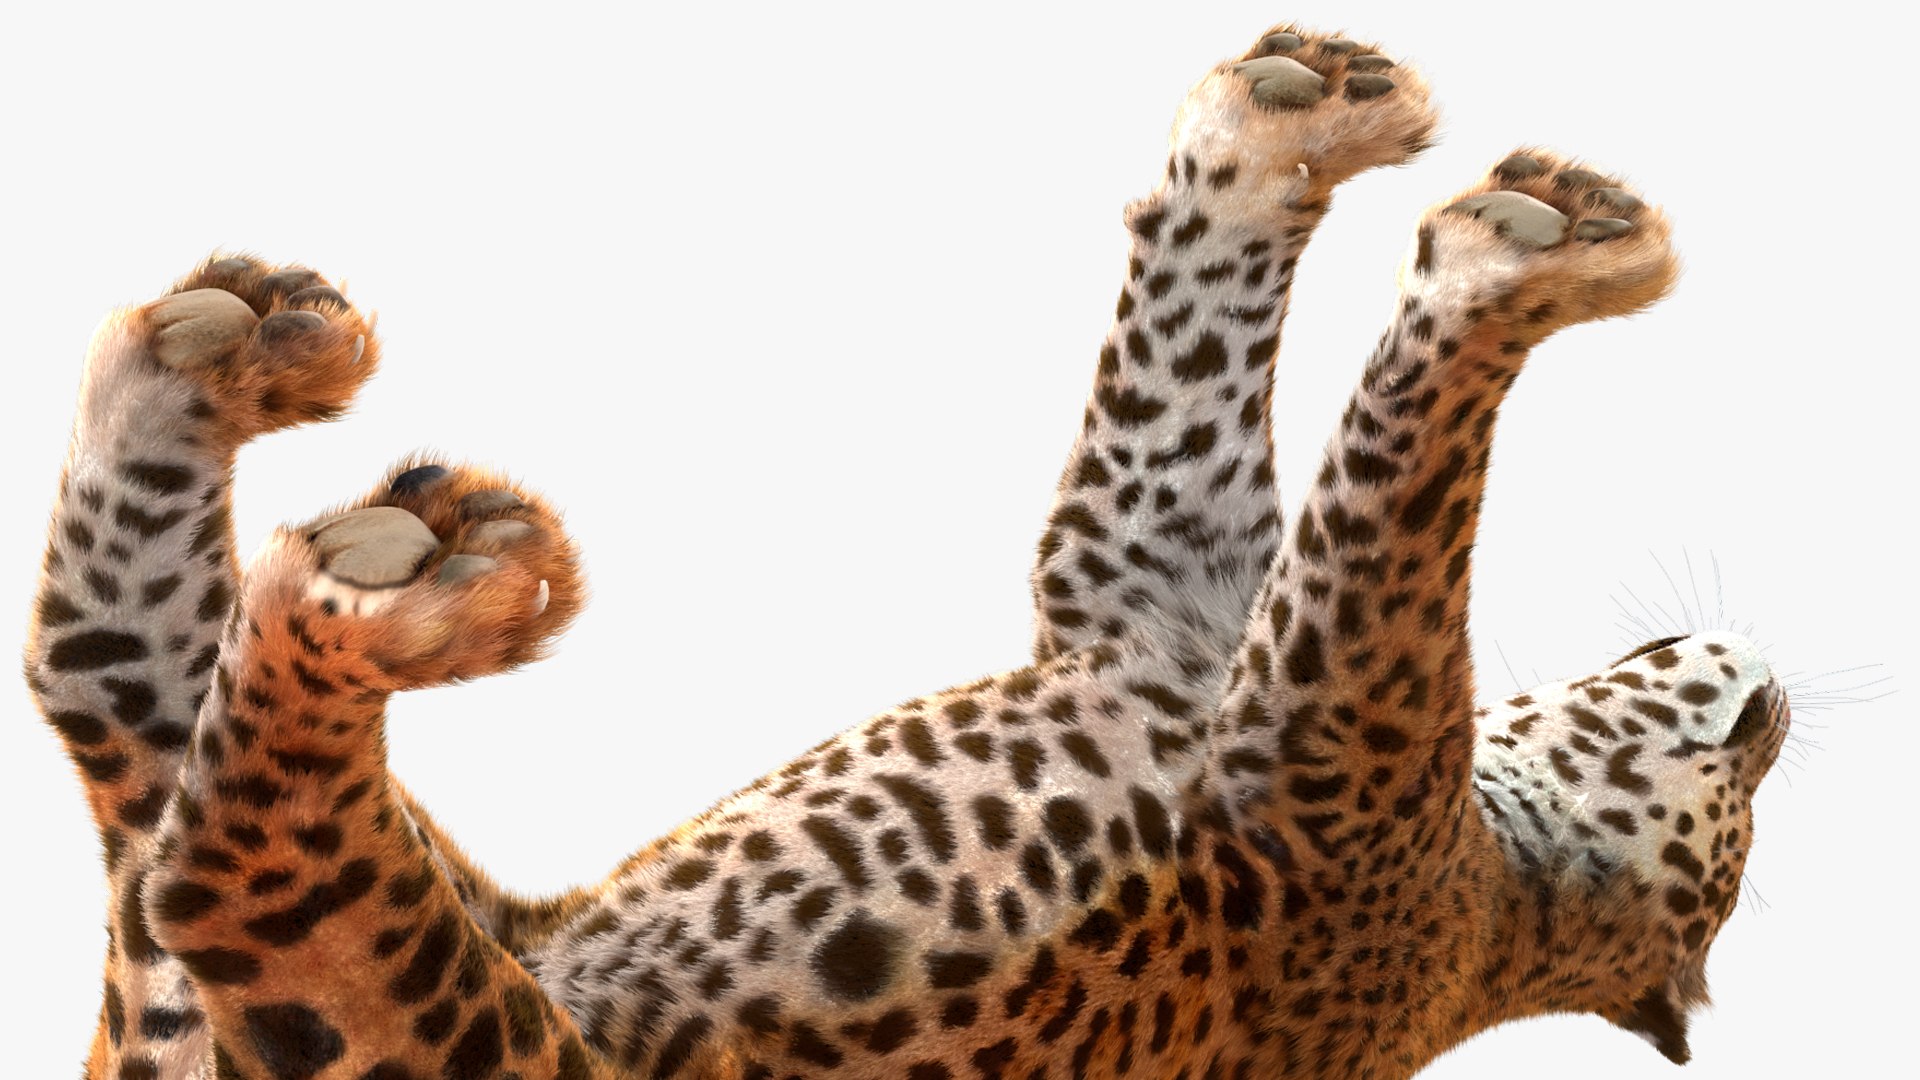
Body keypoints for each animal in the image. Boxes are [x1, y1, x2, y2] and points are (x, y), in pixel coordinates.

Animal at [22, 20, 1791, 1080]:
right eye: (1750, 780)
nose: (1773, 697)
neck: (1508, 892)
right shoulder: (1154, 578)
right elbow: (1186, 361)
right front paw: (1300, 118)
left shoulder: (1334, 719)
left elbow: (1412, 449)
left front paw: (1522, 258)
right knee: (95, 685)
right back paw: (234, 350)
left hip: (429, 1018)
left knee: (221, 841)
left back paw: (423, 577)